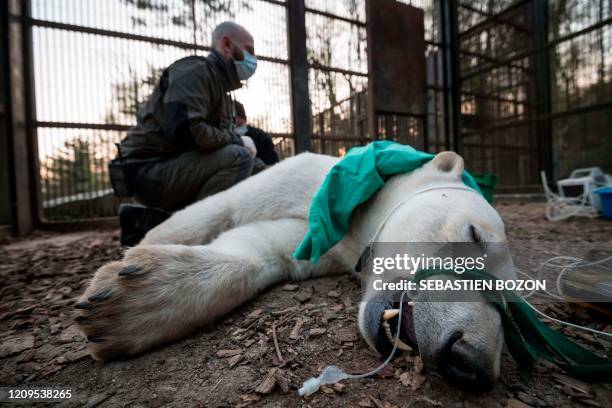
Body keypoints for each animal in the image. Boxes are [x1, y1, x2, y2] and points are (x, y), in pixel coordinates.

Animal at [77, 149, 516, 388]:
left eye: (507, 302)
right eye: (474, 235)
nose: (473, 361)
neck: (357, 217)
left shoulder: (327, 245)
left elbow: (266, 248)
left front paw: (124, 307)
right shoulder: (313, 183)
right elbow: (225, 206)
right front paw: (137, 259)